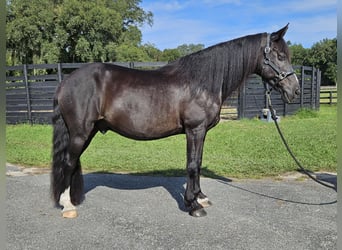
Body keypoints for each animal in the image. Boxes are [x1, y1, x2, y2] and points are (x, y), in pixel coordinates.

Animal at [50, 24, 300, 218]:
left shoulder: (202, 132)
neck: (201, 83)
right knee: (69, 162)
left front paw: (201, 197)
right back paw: (67, 205)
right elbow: (192, 166)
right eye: (279, 56)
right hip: (80, 133)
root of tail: (65, 82)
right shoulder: (194, 130)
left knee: (72, 163)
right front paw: (193, 205)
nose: (295, 90)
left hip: (89, 132)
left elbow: (198, 163)